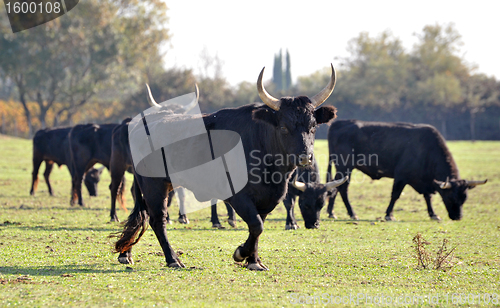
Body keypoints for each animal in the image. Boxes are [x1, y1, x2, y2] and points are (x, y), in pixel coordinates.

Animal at [112, 64, 340, 270]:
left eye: (313, 126)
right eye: (284, 127)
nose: (305, 156)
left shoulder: (268, 199)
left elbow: (258, 227)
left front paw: (254, 261)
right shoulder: (238, 196)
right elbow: (256, 225)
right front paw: (241, 253)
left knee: (142, 214)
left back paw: (126, 254)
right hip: (153, 185)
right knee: (157, 219)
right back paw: (173, 259)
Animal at [326, 119, 486, 220]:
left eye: (464, 198)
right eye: (450, 197)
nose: (458, 217)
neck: (428, 149)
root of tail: (338, 123)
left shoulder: (425, 181)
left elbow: (428, 197)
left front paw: (433, 214)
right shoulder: (401, 176)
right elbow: (395, 195)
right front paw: (389, 215)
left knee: (335, 186)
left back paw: (331, 212)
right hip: (345, 167)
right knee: (342, 188)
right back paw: (351, 213)